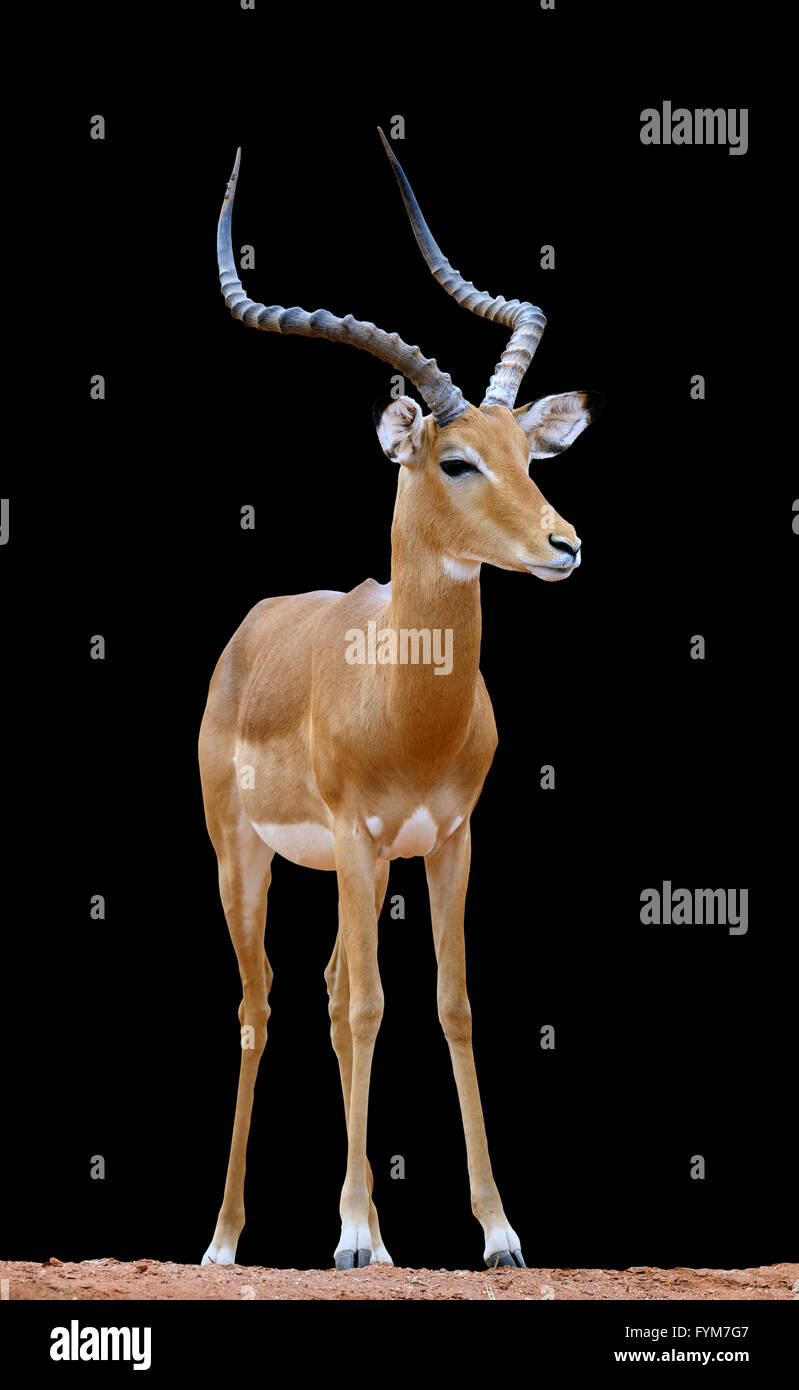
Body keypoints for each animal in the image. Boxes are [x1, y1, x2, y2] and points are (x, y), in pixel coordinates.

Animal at [200, 129, 603, 1272]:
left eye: (526, 453)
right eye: (456, 460)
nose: (564, 545)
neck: (404, 700)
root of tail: (255, 625)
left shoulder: (450, 838)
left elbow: (449, 1000)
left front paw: (499, 1231)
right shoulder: (358, 834)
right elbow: (371, 1006)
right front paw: (347, 1233)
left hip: (353, 869)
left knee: (333, 986)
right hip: (248, 857)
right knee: (266, 1000)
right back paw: (229, 1240)